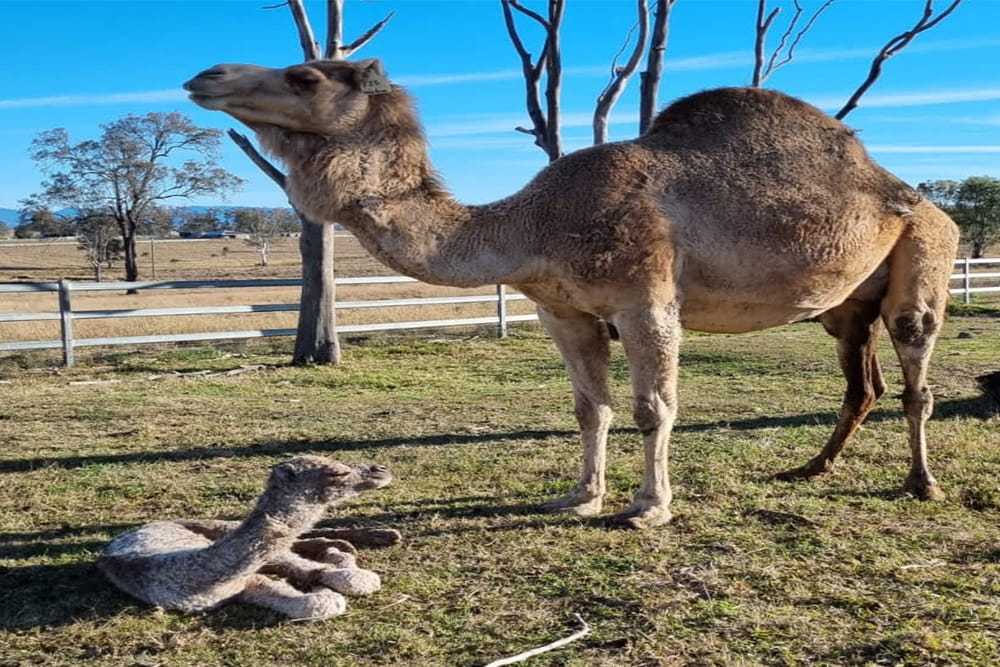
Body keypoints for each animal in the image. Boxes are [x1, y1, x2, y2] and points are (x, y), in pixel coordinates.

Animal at [98, 456, 396, 619]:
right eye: (337, 472)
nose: (380, 470)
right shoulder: (243, 586)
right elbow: (318, 601)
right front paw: (320, 582)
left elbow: (345, 578)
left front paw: (334, 565)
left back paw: (379, 536)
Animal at [184, 58, 959, 529]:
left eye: (304, 76)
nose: (204, 75)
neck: (536, 223)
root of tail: (914, 194)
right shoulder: (562, 309)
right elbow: (591, 407)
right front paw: (581, 496)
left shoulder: (646, 301)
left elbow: (652, 408)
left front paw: (649, 506)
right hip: (847, 305)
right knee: (861, 381)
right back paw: (810, 467)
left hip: (925, 252)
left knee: (915, 369)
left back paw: (922, 484)